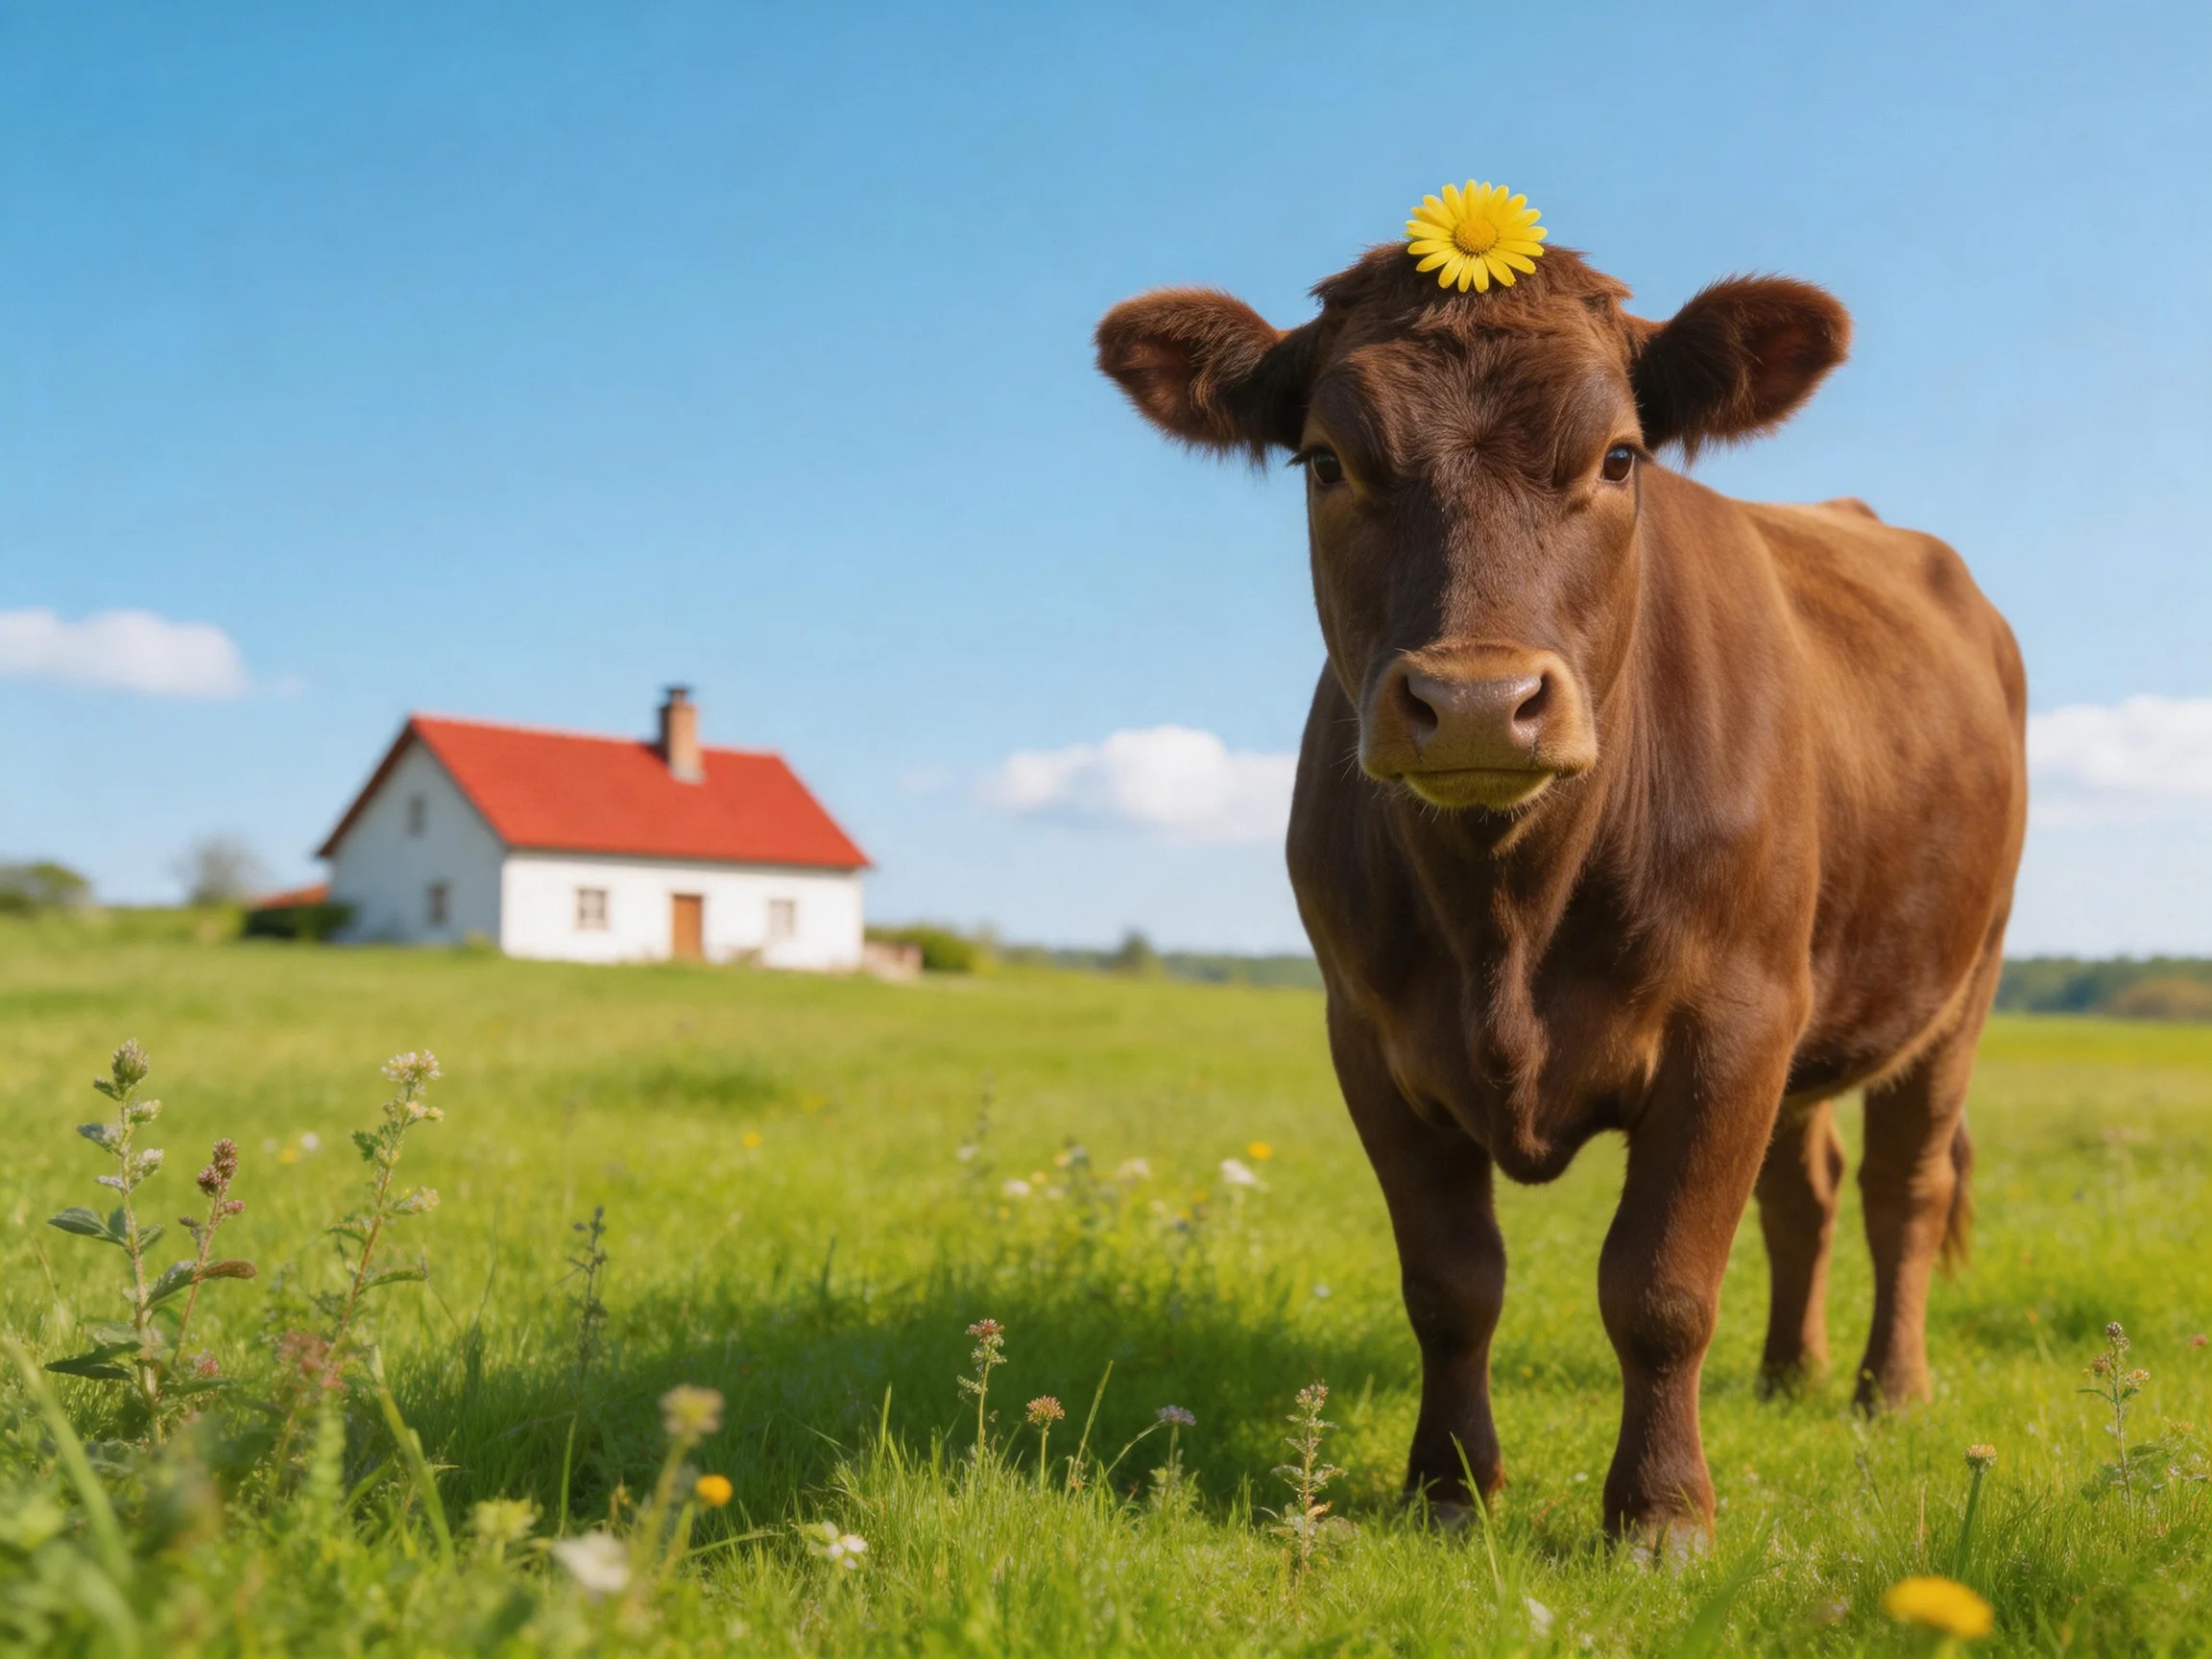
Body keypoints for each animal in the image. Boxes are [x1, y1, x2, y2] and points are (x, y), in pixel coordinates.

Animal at [1096, 234, 2026, 1554]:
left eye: (1619, 456)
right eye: (1328, 461)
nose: (1478, 704)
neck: (1507, 913)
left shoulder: (1732, 1021)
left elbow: (1661, 1286)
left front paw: (1662, 1513)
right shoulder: (1370, 1034)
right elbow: (1450, 1283)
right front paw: (1448, 1488)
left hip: (1961, 982)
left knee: (1908, 1183)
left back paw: (1885, 1391)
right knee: (1806, 1190)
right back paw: (1786, 1374)